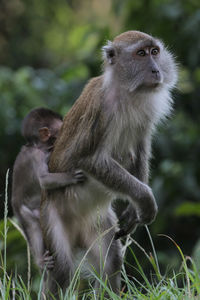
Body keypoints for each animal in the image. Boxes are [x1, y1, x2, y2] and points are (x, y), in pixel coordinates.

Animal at [11, 108, 85, 272]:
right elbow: (44, 180)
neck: (35, 145)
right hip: (24, 212)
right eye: (60, 129)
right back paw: (40, 260)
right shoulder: (37, 156)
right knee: (33, 225)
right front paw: (71, 176)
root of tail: (15, 206)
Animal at [41, 31, 177, 296]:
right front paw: (145, 198)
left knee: (111, 260)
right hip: (50, 217)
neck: (127, 91)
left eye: (155, 52)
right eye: (141, 54)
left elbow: (139, 151)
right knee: (61, 267)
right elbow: (87, 159)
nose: (156, 70)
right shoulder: (101, 110)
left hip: (97, 223)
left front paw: (134, 208)